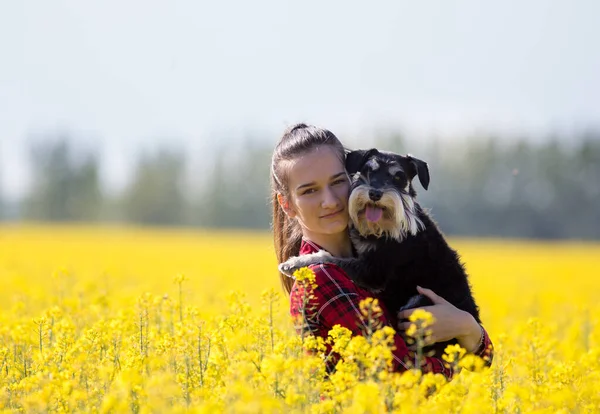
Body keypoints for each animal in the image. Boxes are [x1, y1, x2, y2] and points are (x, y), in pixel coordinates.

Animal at [278, 148, 480, 356]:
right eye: (368, 170)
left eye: (398, 176)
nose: (375, 193)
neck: (383, 229)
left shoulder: (372, 273)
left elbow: (331, 258)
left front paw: (294, 263)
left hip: (418, 302)